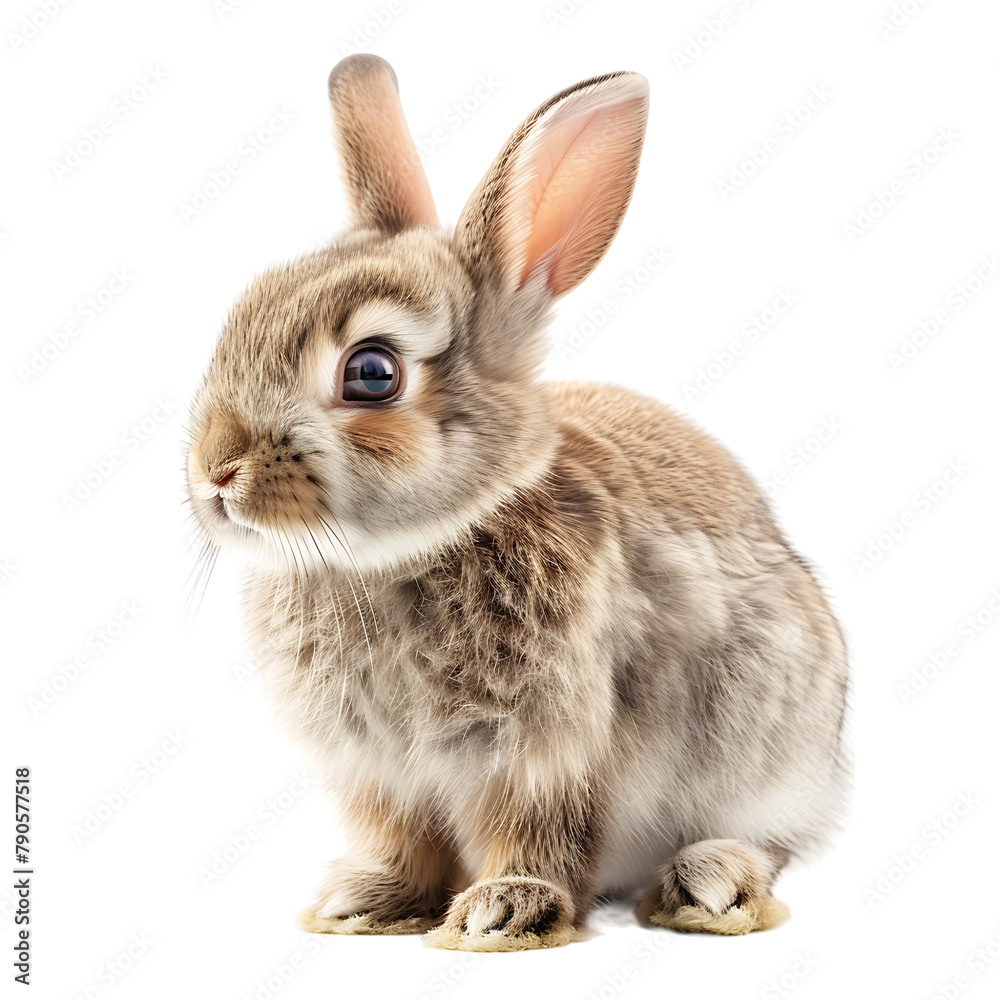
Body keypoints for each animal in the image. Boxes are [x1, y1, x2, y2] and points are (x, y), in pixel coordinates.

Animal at [185, 54, 850, 952]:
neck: (403, 557)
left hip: (778, 742)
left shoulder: (550, 753)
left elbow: (540, 832)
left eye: (372, 372)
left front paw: (502, 913)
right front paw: (362, 903)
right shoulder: (380, 776)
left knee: (765, 840)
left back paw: (708, 886)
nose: (215, 471)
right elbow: (401, 841)